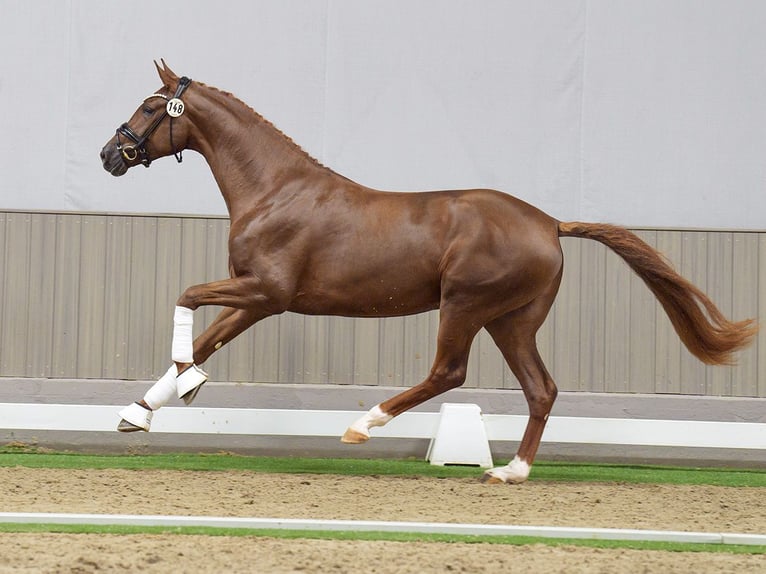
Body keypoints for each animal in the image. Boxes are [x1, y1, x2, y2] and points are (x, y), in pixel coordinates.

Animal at [100, 63, 756, 486]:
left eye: (152, 107)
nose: (111, 155)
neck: (275, 190)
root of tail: (549, 223)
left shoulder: (268, 291)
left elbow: (187, 298)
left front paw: (184, 386)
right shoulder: (258, 299)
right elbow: (207, 339)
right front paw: (143, 410)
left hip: (465, 306)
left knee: (449, 371)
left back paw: (363, 425)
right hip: (512, 321)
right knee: (541, 388)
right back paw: (511, 472)